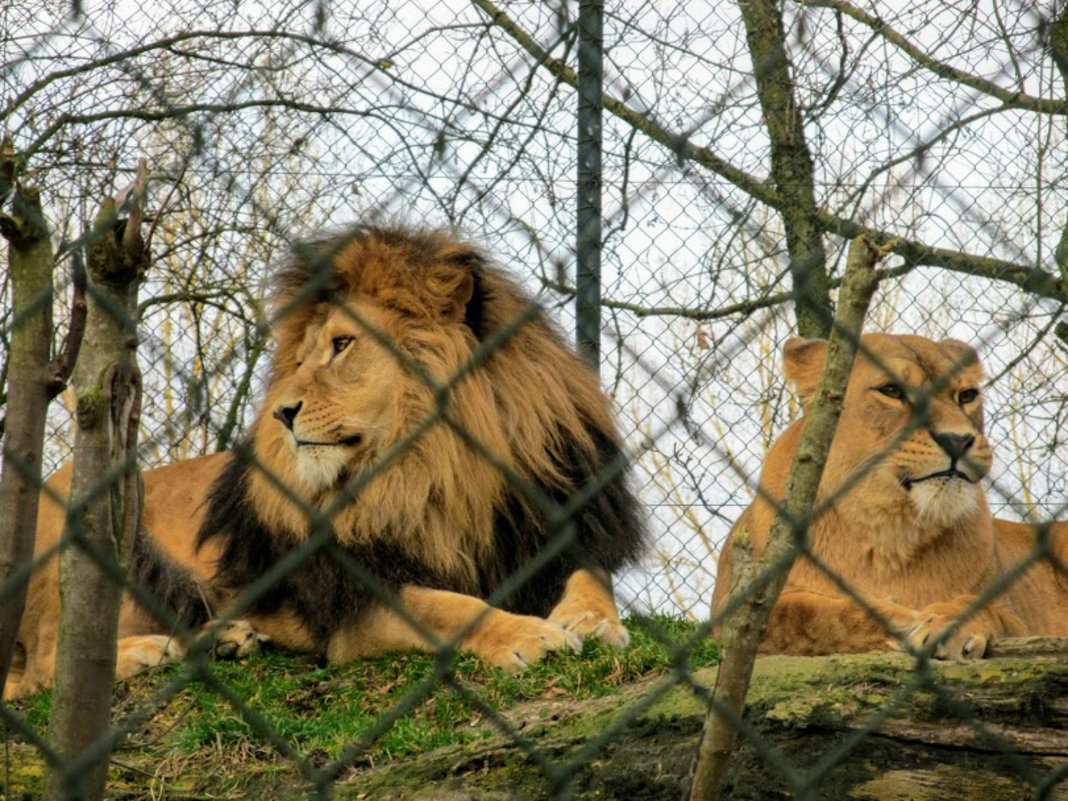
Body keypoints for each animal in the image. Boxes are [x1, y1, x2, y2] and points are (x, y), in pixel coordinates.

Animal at [8, 227, 645, 700]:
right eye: (302, 358)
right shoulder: (352, 599)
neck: (438, 470)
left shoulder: (553, 531)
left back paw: (223, 640)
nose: (282, 413)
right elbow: (446, 606)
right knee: (46, 667)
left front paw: (592, 621)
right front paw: (527, 634)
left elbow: (591, 578)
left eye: (342, 345)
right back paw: (147, 652)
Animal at [709, 333, 1068, 657]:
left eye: (967, 395)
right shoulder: (734, 612)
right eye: (891, 390)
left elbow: (987, 609)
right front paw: (904, 620)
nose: (958, 440)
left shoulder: (1020, 619)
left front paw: (947, 624)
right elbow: (807, 615)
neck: (888, 530)